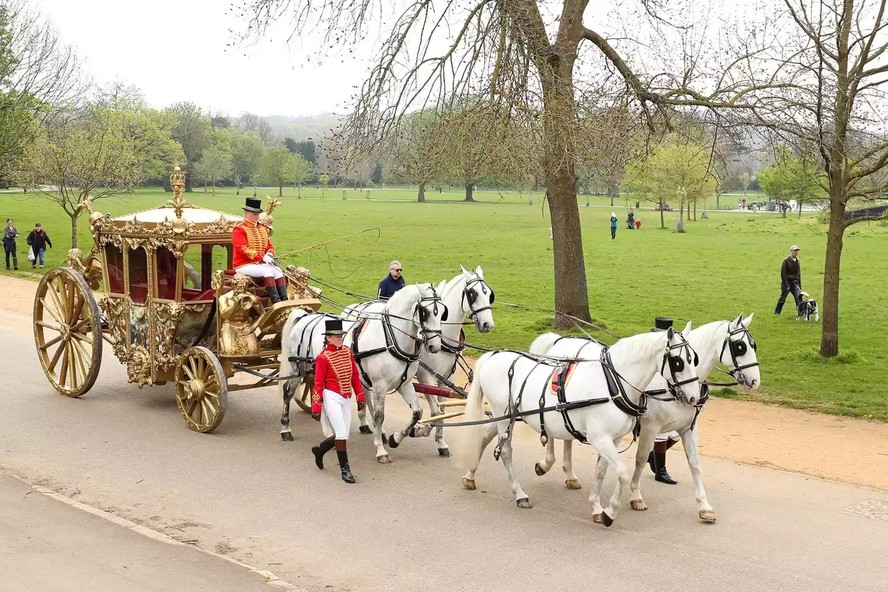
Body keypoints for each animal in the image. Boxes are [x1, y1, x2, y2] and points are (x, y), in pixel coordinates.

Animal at [276, 282, 444, 462]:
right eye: (425, 312)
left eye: (442, 312)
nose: (435, 346)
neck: (390, 338)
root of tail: (304, 317)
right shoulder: (379, 385)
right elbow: (379, 416)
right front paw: (381, 449)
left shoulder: (404, 384)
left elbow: (417, 413)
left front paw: (397, 438)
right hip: (298, 370)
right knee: (288, 392)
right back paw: (285, 428)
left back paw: (328, 433)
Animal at [412, 264, 496, 458]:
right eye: (473, 294)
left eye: (489, 293)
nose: (488, 324)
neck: (443, 337)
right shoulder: (426, 376)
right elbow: (435, 410)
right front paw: (421, 429)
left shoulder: (446, 378)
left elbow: (442, 410)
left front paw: (441, 443)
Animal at [450, 324, 700, 528]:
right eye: (678, 362)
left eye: (694, 359)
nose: (694, 398)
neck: (613, 383)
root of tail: (492, 355)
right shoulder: (600, 438)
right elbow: (621, 472)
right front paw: (610, 512)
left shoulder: (613, 438)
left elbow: (601, 471)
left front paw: (597, 507)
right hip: (503, 416)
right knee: (505, 452)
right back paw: (519, 494)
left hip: (507, 416)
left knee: (484, 435)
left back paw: (470, 475)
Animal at [532, 314, 760, 524]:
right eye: (740, 346)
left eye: (753, 345)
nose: (755, 381)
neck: (669, 385)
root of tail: (559, 340)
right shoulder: (651, 427)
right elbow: (640, 459)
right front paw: (635, 496)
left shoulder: (687, 427)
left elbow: (694, 463)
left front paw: (704, 506)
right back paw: (546, 464)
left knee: (567, 437)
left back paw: (570, 475)